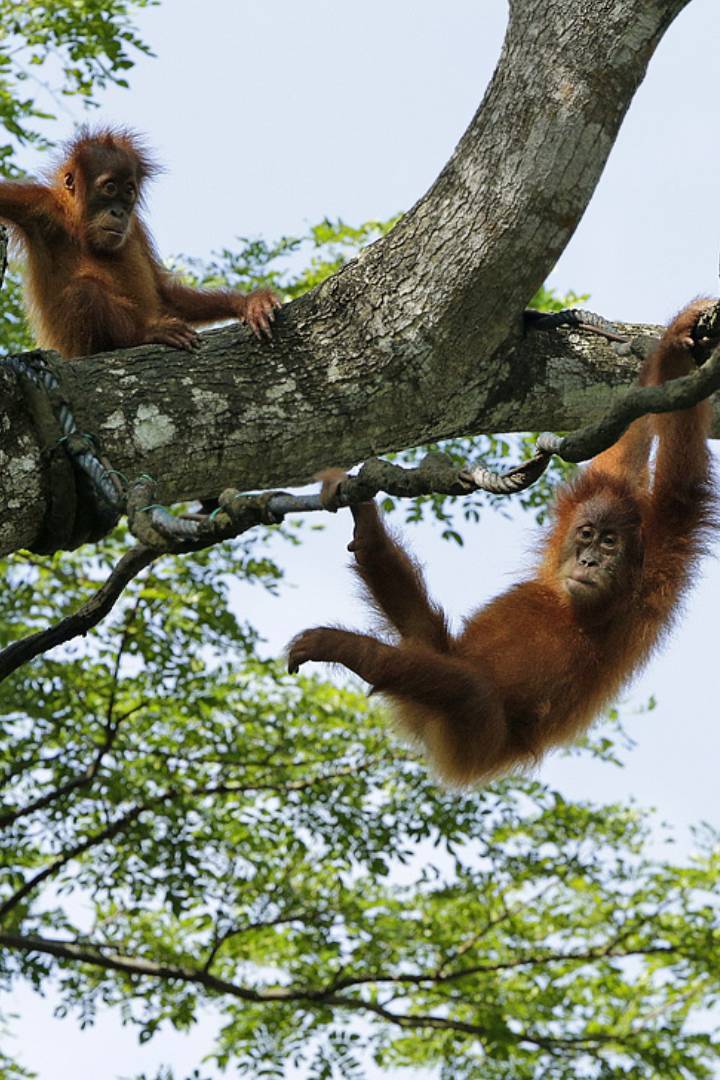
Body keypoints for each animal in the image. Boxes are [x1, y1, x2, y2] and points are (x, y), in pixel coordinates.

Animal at [0, 126, 281, 359]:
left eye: (129, 191)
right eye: (110, 188)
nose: (119, 213)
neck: (79, 227)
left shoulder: (136, 229)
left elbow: (165, 293)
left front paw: (248, 302)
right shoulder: (38, 207)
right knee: (83, 289)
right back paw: (142, 335)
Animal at [288, 299, 716, 785]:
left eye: (610, 544)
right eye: (587, 535)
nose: (589, 560)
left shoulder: (661, 557)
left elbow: (681, 486)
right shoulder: (617, 495)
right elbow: (625, 452)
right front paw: (676, 345)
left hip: (477, 732)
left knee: (463, 684)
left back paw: (353, 650)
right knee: (427, 636)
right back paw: (367, 536)